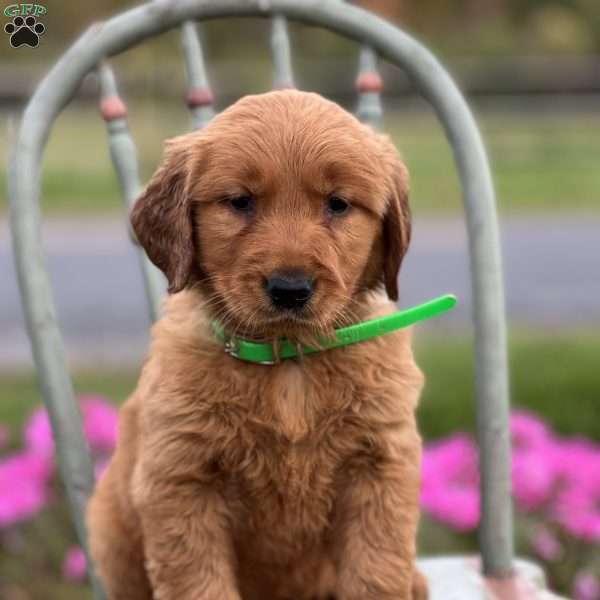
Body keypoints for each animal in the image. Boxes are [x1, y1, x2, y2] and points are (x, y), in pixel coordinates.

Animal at [86, 89, 428, 600]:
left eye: (338, 204)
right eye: (240, 201)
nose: (290, 289)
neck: (287, 362)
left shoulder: (381, 467)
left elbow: (376, 573)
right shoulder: (181, 481)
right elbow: (199, 584)